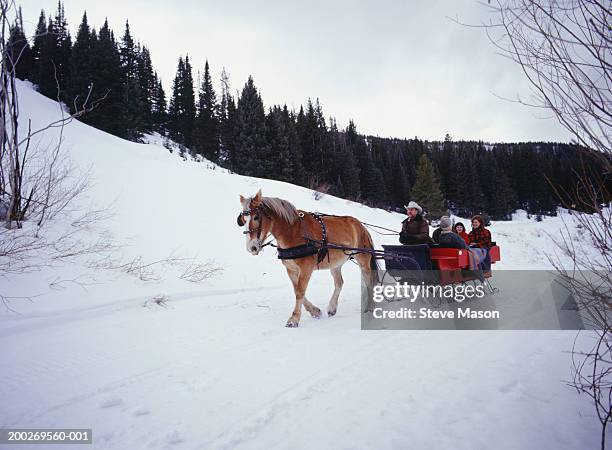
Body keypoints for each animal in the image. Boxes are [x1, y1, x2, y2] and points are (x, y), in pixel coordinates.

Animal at [238, 190, 378, 326]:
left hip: (363, 261)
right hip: (335, 264)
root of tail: (361, 226)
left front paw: (294, 319)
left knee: (369, 282)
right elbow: (297, 290)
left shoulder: (306, 268)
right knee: (339, 282)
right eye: (243, 220)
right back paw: (332, 308)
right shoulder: (291, 269)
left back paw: (369, 308)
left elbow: (300, 291)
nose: (252, 247)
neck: (294, 232)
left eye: (256, 217)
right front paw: (314, 311)